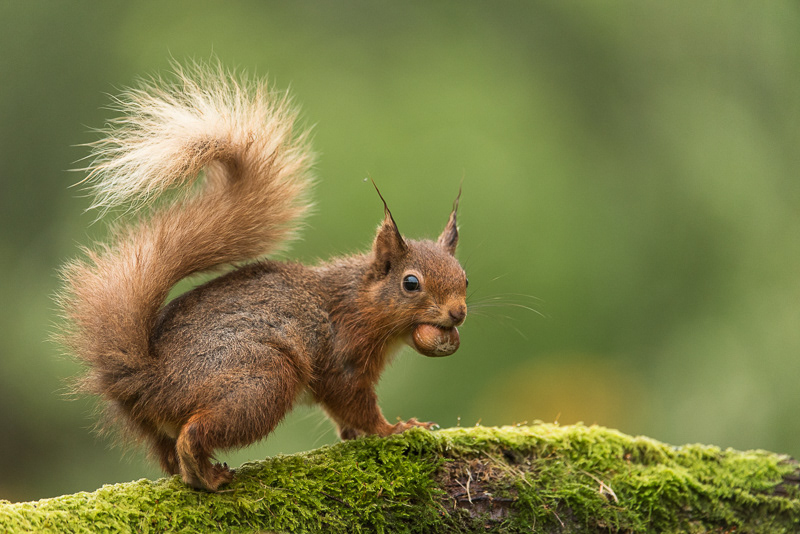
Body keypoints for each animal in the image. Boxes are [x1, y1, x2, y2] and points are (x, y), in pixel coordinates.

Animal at [57, 64, 468, 492]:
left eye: (466, 279)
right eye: (411, 283)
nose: (458, 313)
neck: (360, 300)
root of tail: (151, 378)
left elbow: (344, 418)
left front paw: (359, 435)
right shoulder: (343, 358)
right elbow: (354, 404)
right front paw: (395, 428)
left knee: (167, 454)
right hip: (263, 381)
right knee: (193, 435)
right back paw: (208, 476)